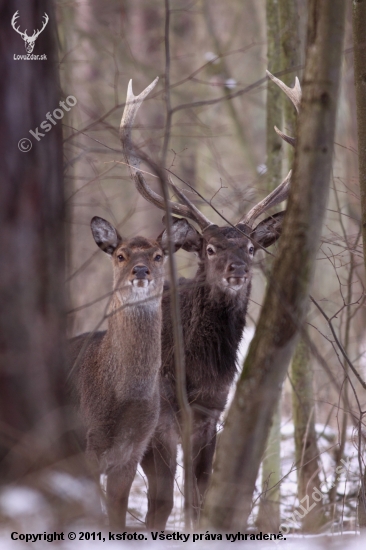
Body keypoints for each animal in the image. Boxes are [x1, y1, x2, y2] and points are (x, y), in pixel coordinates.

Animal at [69, 216, 186, 532]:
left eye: (158, 255)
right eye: (121, 255)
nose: (141, 270)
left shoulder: (132, 453)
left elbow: (116, 517)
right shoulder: (86, 447)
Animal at [120, 71, 300, 528]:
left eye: (251, 247)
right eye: (210, 248)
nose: (238, 269)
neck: (194, 368)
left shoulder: (210, 414)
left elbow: (198, 502)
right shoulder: (163, 414)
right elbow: (163, 502)